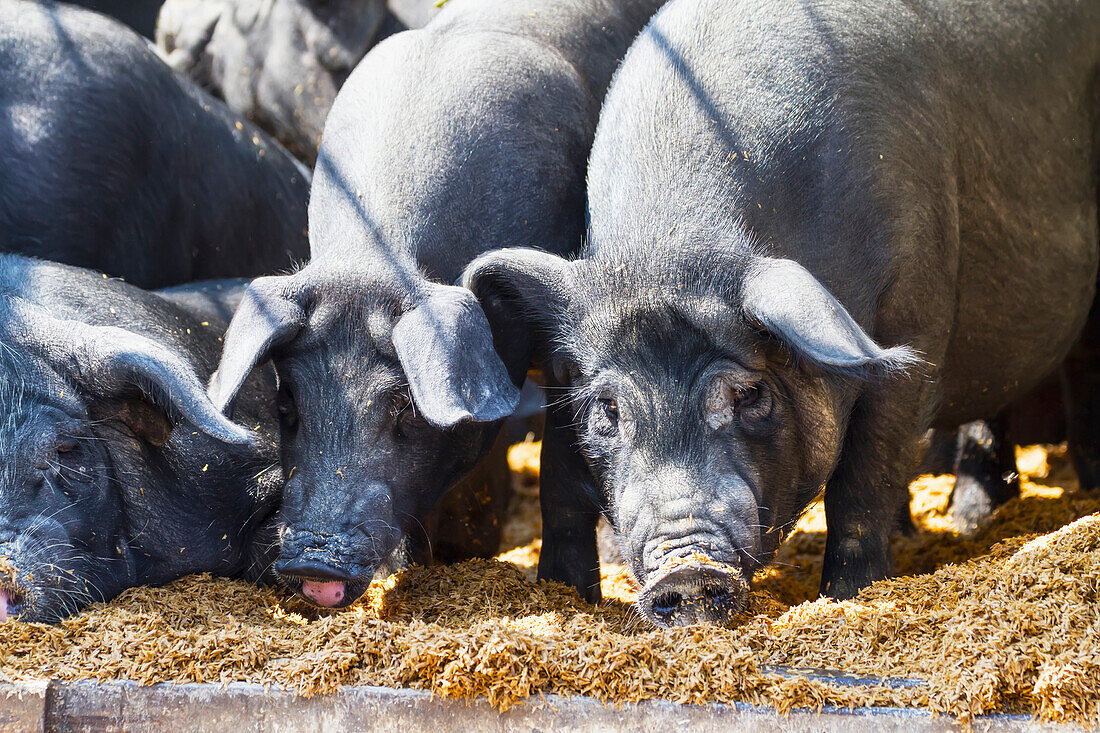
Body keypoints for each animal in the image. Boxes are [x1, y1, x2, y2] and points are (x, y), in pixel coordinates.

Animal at [464, 0, 1100, 620]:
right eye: (609, 408)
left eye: (750, 395)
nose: (685, 569)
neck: (672, 245)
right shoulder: (563, 371)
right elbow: (561, 486)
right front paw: (566, 598)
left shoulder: (915, 309)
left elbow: (865, 479)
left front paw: (848, 596)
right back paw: (970, 520)